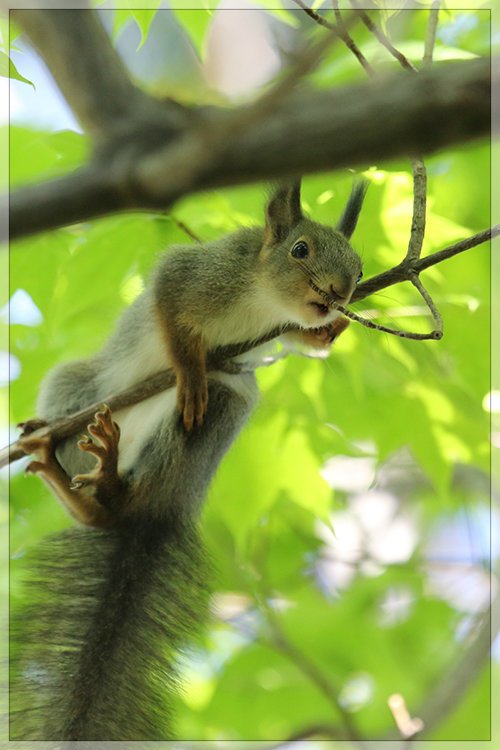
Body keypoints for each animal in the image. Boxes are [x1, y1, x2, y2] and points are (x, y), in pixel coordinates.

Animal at [9, 178, 366, 748]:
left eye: (360, 267)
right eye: (300, 250)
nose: (339, 294)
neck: (262, 295)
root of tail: (155, 511)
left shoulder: (283, 328)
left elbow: (306, 343)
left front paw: (330, 334)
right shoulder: (196, 273)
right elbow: (170, 306)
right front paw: (189, 370)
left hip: (222, 412)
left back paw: (106, 493)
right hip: (75, 391)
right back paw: (73, 470)